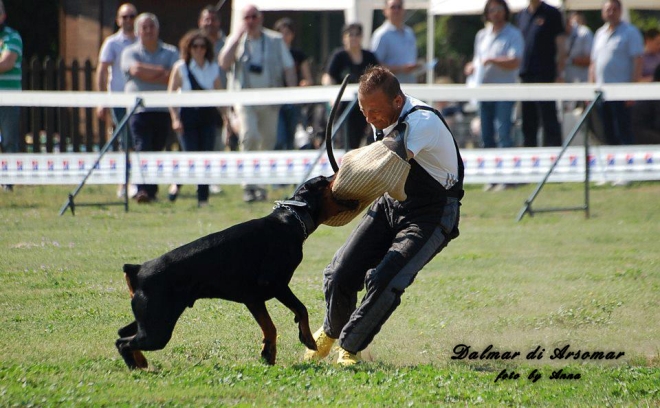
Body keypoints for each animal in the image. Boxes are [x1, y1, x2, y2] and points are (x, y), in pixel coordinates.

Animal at [115, 175, 356, 369]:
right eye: (324, 179)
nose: (338, 168)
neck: (291, 220)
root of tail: (137, 270)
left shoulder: (253, 299)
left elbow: (270, 327)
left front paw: (268, 353)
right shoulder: (274, 284)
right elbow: (301, 309)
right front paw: (307, 339)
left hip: (150, 319)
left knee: (122, 333)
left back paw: (140, 362)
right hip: (158, 328)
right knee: (123, 342)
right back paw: (136, 367)